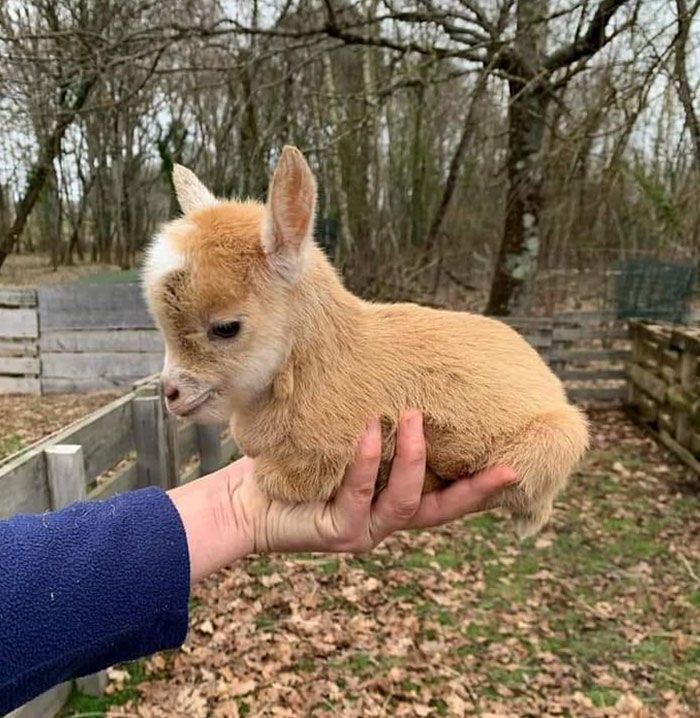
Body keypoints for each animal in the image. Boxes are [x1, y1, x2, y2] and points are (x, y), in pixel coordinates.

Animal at [145, 148, 588, 540]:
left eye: (226, 328)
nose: (170, 393)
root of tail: (552, 382)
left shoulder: (325, 454)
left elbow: (278, 479)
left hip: (553, 441)